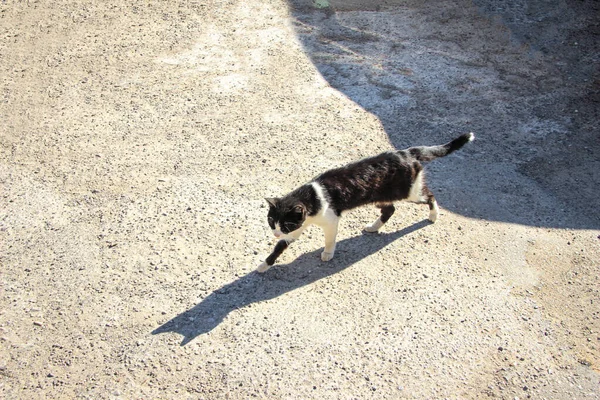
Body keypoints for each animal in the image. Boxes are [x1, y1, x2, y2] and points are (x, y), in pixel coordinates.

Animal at [255, 133, 476, 274]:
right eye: (271, 222)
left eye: (284, 225)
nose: (275, 233)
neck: (312, 196)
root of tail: (406, 153)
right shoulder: (300, 225)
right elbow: (278, 249)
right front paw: (265, 265)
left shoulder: (330, 219)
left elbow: (330, 239)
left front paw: (328, 253)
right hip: (380, 196)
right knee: (390, 209)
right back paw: (373, 227)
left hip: (409, 193)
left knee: (429, 196)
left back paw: (433, 215)